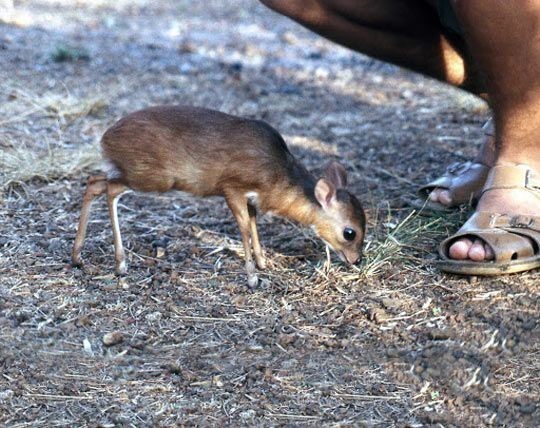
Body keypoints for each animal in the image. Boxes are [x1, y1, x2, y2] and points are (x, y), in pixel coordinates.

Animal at [71, 106, 364, 288]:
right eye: (350, 233)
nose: (357, 260)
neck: (279, 177)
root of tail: (105, 139)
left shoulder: (251, 197)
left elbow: (254, 225)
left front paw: (262, 263)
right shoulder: (231, 187)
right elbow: (244, 227)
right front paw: (252, 278)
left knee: (94, 182)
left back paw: (77, 257)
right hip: (150, 177)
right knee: (108, 189)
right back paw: (119, 264)